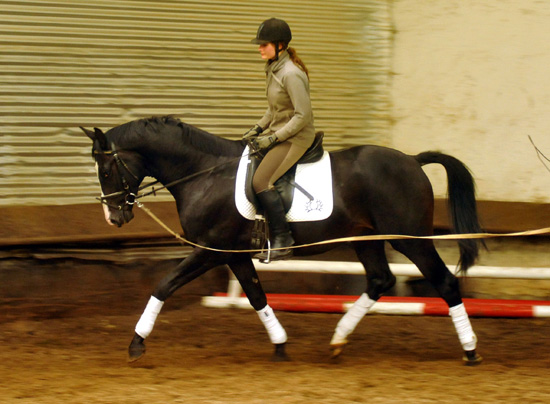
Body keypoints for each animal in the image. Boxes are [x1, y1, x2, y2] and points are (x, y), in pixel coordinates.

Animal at [83, 115, 488, 364]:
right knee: (380, 279)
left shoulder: (209, 251)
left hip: (411, 239)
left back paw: (470, 351)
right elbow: (256, 295)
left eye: (106, 170)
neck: (203, 173)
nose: (113, 218)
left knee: (445, 283)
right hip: (367, 238)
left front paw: (136, 343)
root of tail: (412, 160)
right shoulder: (232, 254)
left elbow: (163, 286)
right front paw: (279, 344)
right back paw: (338, 340)